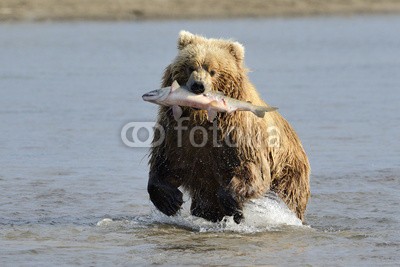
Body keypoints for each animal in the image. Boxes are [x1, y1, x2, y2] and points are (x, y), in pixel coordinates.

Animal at [147, 30, 310, 224]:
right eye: (191, 67)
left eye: (213, 71)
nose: (198, 86)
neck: (201, 117)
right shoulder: (176, 131)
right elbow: (166, 161)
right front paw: (170, 201)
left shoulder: (238, 135)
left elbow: (251, 169)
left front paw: (235, 207)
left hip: (288, 172)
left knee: (287, 196)